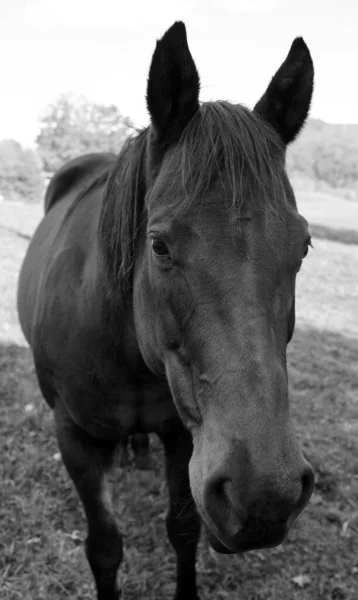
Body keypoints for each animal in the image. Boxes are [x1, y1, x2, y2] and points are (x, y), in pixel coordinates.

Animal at [17, 21, 314, 596]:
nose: (266, 495)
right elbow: (105, 547)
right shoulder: (75, 439)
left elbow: (183, 531)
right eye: (158, 246)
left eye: (304, 246)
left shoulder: (183, 436)